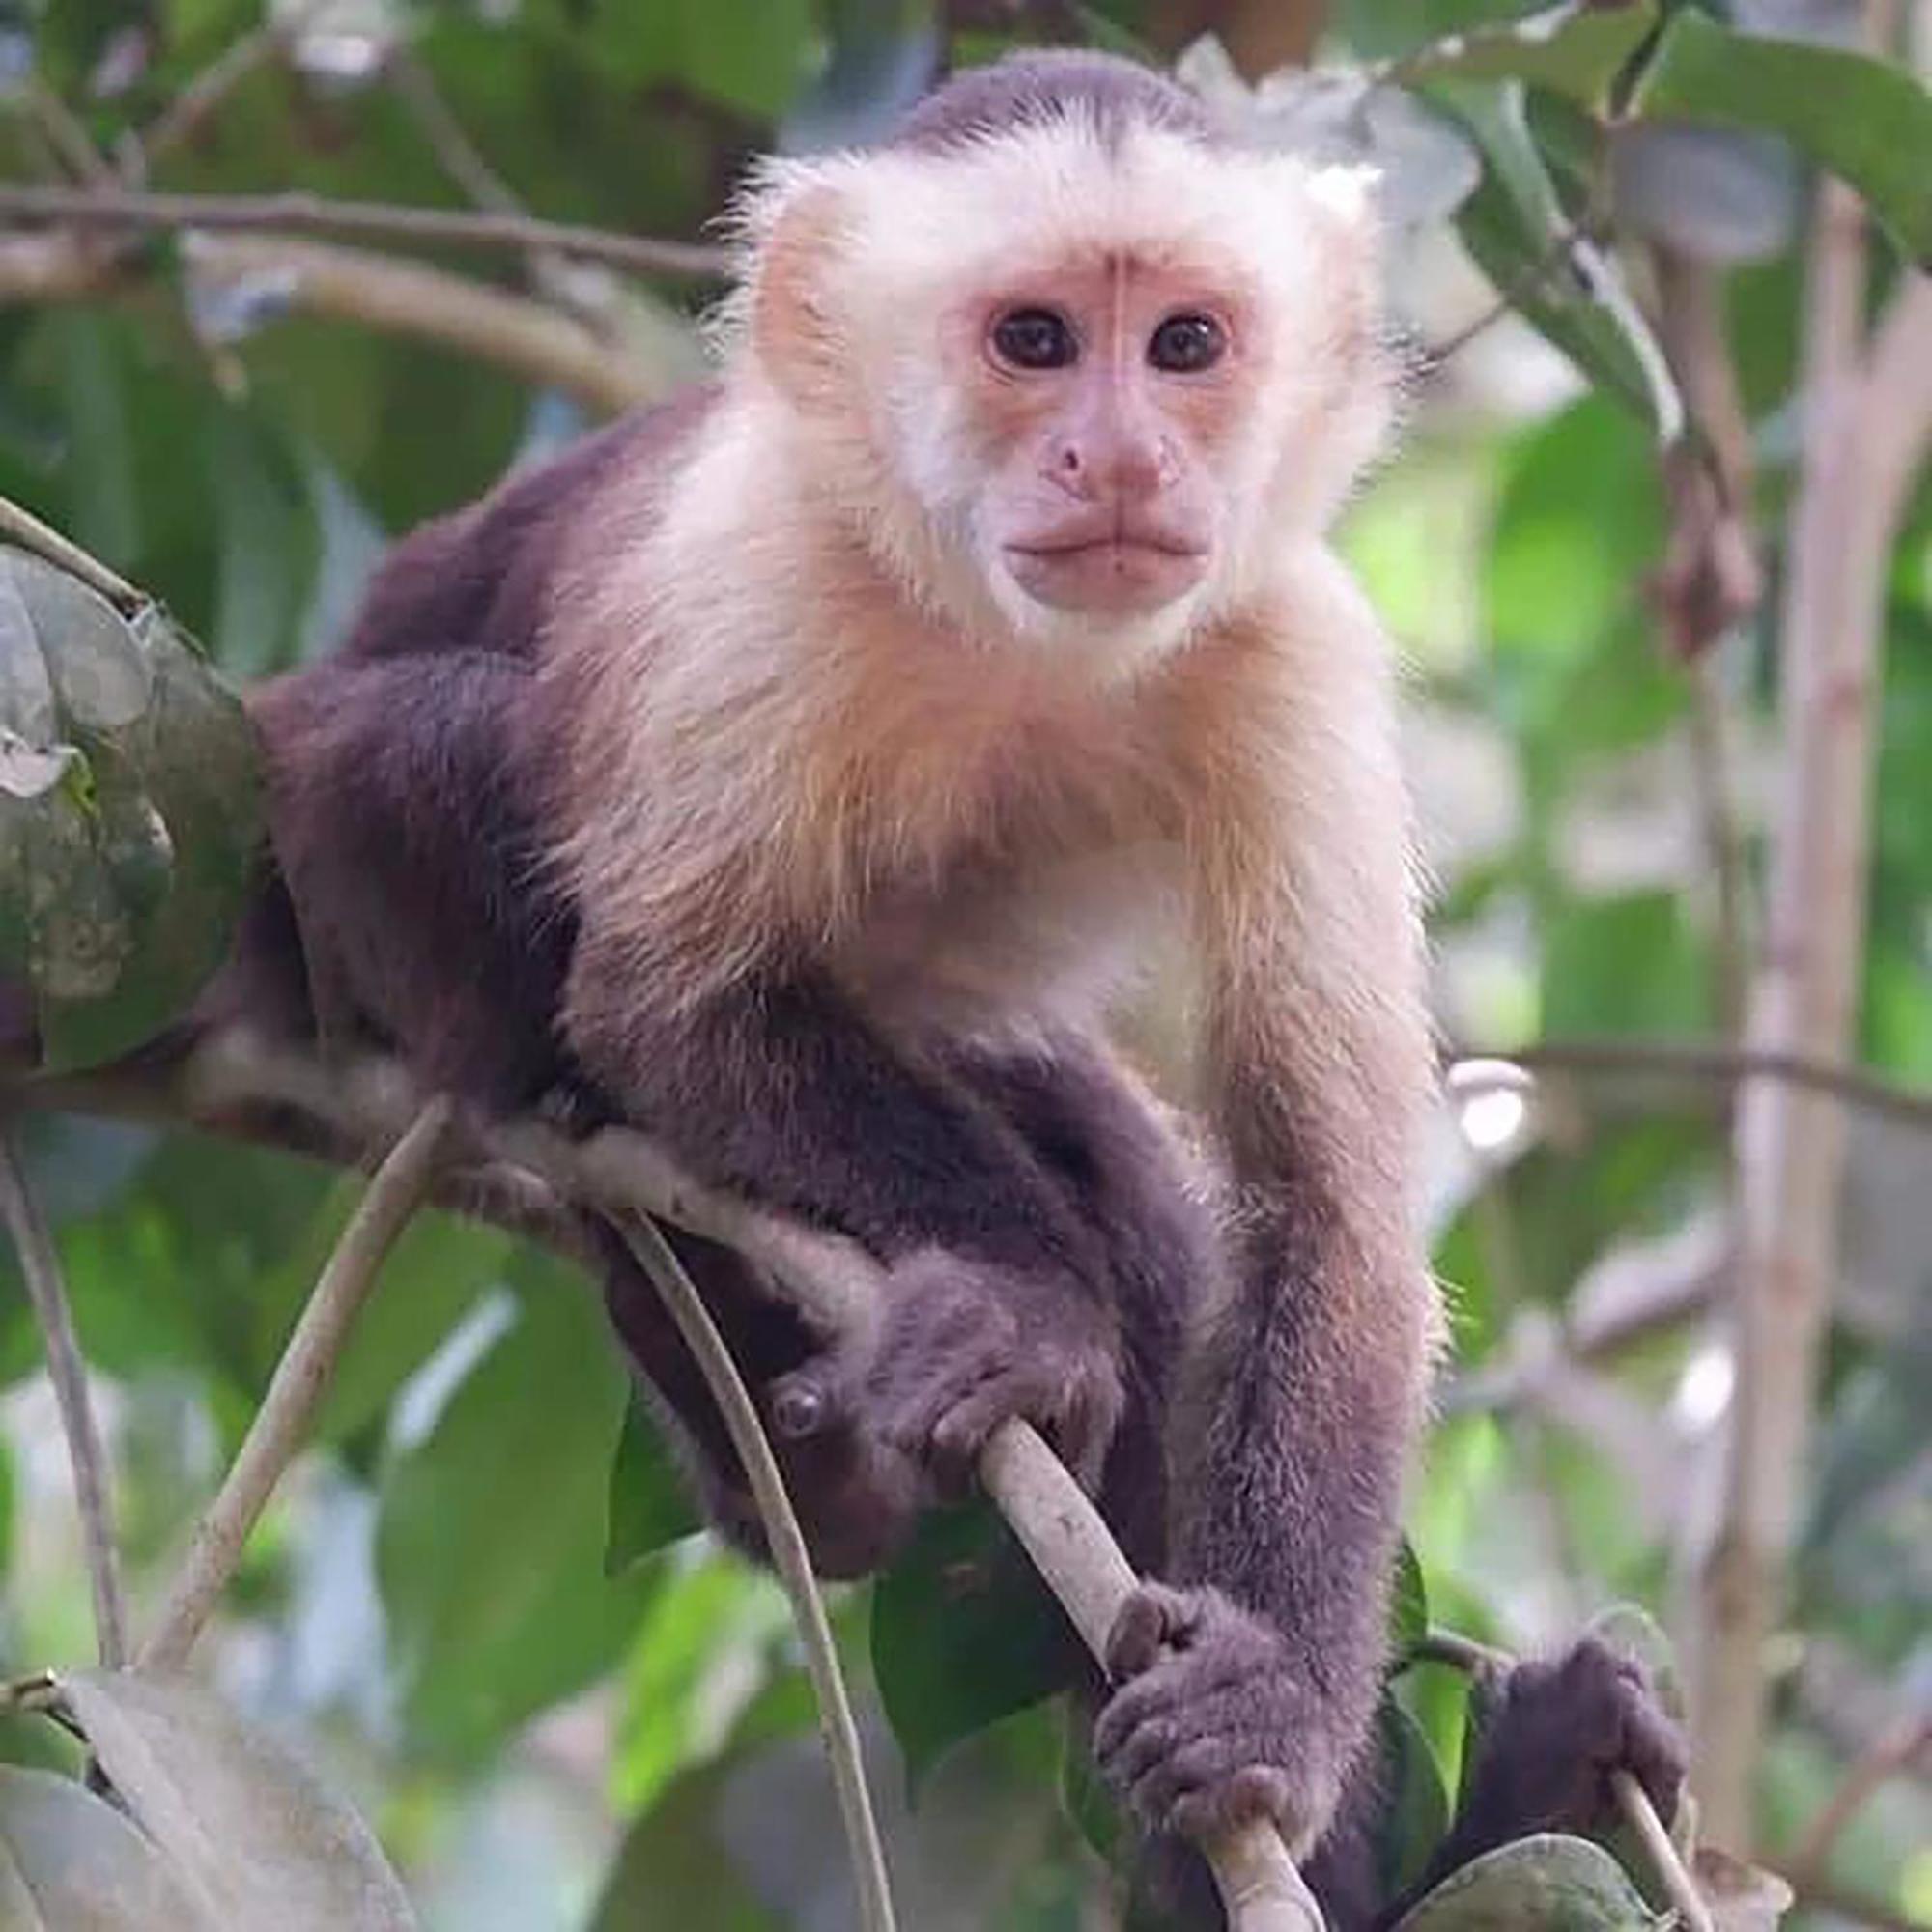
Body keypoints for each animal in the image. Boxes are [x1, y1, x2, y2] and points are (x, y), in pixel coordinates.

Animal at [219, 52, 1685, 1924]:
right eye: (1035, 340)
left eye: (1186, 345)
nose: (1119, 451)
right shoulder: (754, 588)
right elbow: (675, 1006)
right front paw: (1026, 1311)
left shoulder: (1292, 653)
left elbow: (1327, 1210)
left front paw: (1279, 1699)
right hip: (299, 861)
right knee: (447, 753)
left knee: (1152, 1220)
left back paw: (1465, 1823)